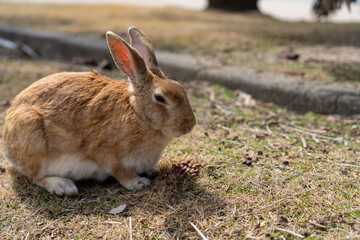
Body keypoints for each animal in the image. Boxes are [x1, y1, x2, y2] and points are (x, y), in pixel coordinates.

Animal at [2, 26, 197, 195]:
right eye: (160, 98)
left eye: (180, 87)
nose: (190, 124)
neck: (138, 113)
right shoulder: (115, 158)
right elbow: (122, 174)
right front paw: (139, 183)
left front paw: (153, 171)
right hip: (31, 133)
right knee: (34, 176)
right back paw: (63, 186)